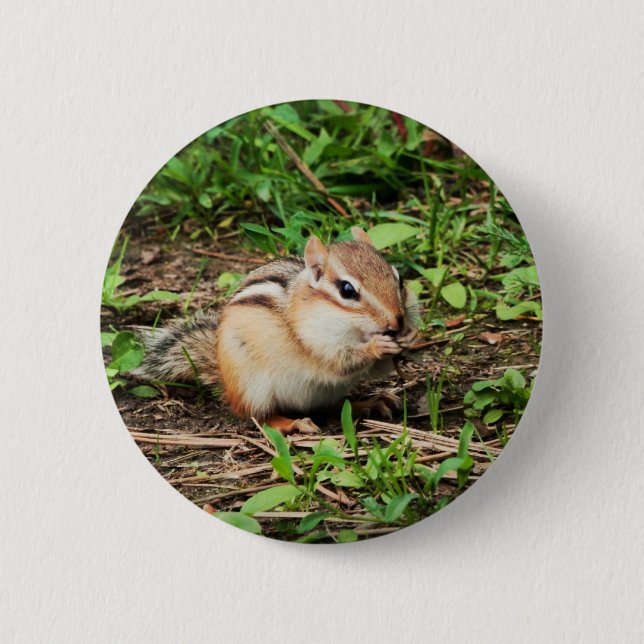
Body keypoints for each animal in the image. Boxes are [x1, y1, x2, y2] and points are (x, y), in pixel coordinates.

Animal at [133, 227, 419, 434]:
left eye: (400, 279)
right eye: (347, 290)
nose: (397, 322)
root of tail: (225, 379)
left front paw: (411, 337)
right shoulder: (314, 340)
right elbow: (339, 361)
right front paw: (377, 346)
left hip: (325, 393)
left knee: (333, 407)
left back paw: (369, 403)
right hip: (254, 389)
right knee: (259, 417)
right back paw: (293, 423)